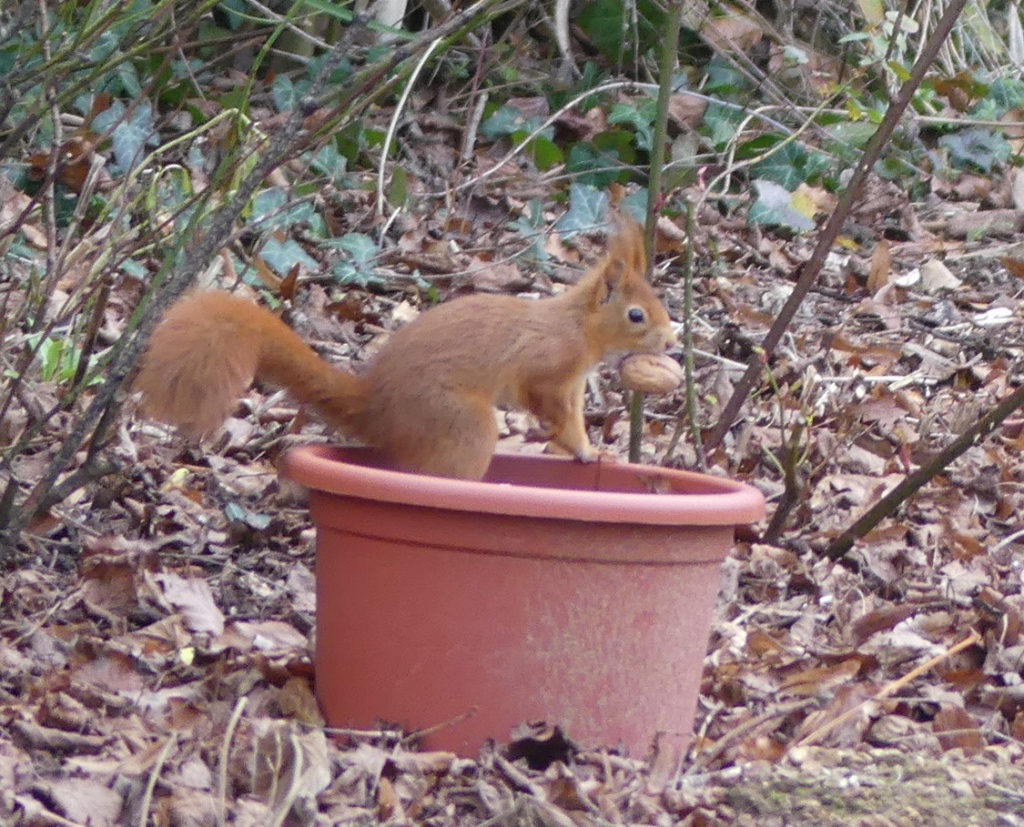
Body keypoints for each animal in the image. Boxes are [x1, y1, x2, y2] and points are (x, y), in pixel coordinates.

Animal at [138, 220, 679, 479]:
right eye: (636, 315)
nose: (672, 338)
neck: (577, 326)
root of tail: (375, 408)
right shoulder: (547, 368)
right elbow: (551, 410)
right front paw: (582, 449)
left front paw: (590, 450)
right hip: (460, 422)